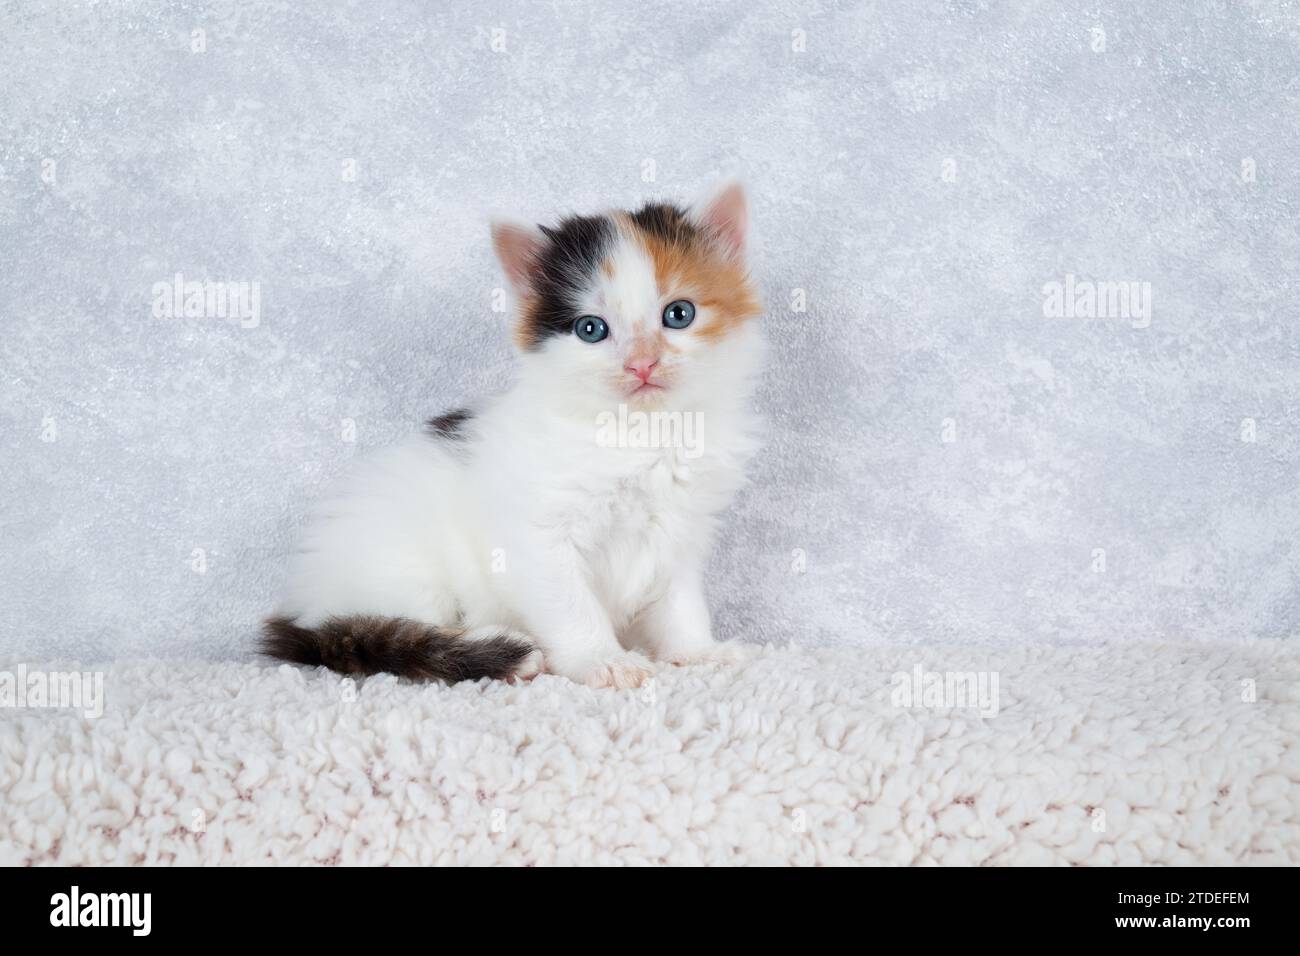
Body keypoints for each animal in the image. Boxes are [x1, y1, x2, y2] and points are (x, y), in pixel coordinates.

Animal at [261, 180, 759, 686]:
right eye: (591, 329)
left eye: (679, 314)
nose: (642, 364)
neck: (641, 434)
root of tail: (303, 606)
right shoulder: (539, 535)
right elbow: (572, 606)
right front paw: (603, 659)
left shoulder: (682, 529)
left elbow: (680, 603)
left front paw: (697, 652)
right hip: (402, 571)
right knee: (388, 630)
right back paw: (497, 648)